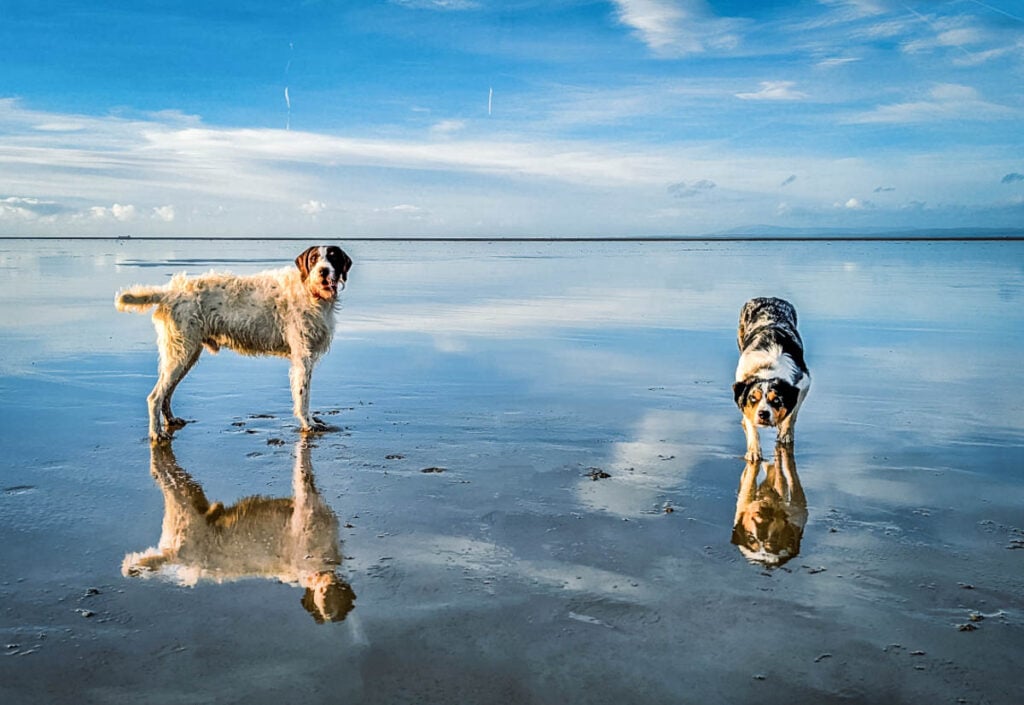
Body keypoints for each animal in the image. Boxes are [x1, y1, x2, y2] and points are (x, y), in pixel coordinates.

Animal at [117, 244, 352, 438]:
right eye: (314, 258)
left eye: (332, 258)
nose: (323, 271)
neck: (309, 291)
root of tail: (169, 292)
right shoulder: (302, 358)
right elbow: (303, 396)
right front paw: (308, 423)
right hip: (180, 352)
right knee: (155, 397)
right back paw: (156, 434)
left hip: (187, 354)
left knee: (167, 393)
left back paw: (170, 420)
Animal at [733, 299, 811, 459]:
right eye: (753, 398)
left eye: (776, 400)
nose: (763, 414)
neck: (768, 367)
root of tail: (768, 298)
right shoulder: (742, 380)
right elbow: (749, 420)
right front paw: (753, 451)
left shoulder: (803, 383)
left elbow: (791, 414)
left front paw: (785, 434)